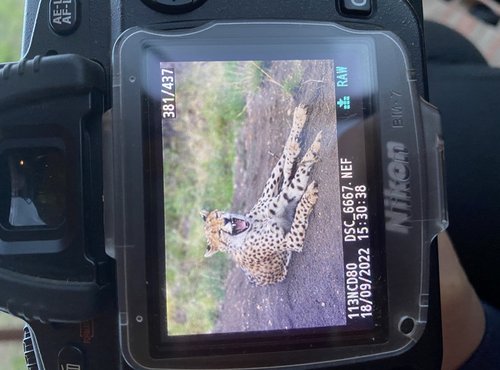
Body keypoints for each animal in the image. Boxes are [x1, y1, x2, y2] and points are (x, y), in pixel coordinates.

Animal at [201, 104, 322, 286]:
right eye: (218, 234)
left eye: (216, 215)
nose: (226, 221)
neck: (253, 224)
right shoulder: (293, 239)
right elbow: (296, 186)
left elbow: (289, 172)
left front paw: (300, 123)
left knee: (284, 166)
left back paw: (295, 142)